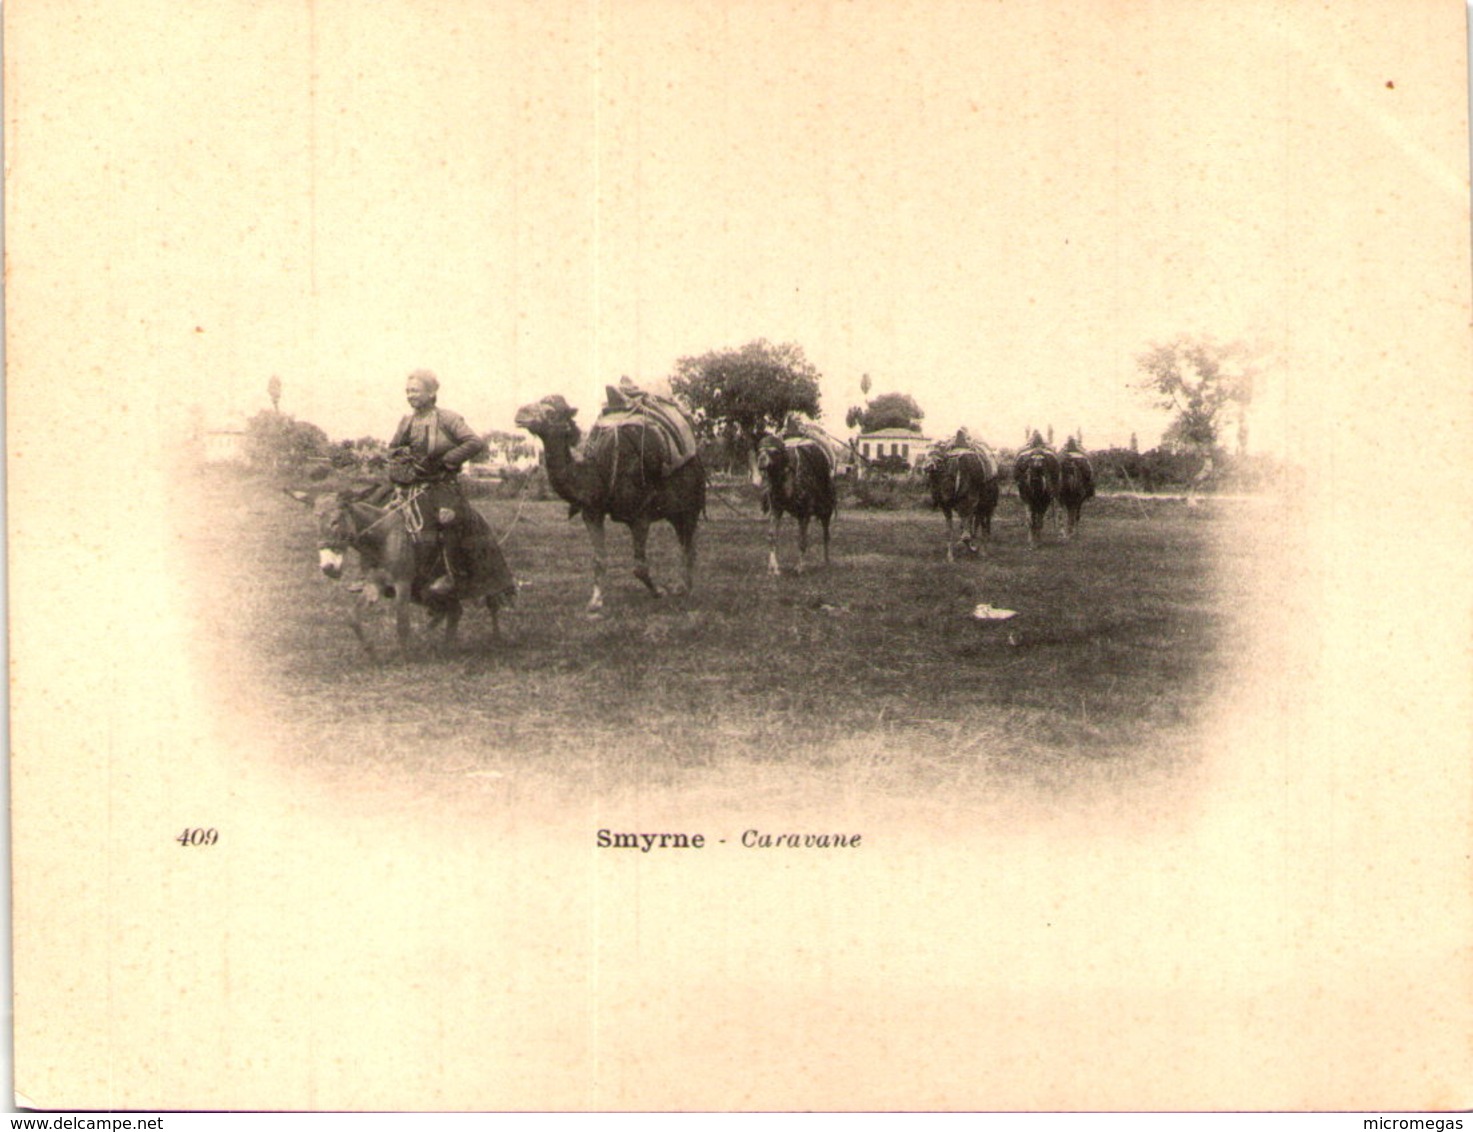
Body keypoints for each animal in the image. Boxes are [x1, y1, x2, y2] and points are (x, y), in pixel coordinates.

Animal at [512, 395, 707, 613]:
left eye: (550, 412)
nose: (520, 414)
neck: (597, 474)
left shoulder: (640, 516)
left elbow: (639, 567)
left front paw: (659, 592)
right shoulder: (592, 512)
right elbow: (599, 559)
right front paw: (595, 602)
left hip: (691, 508)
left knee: (688, 547)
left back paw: (686, 592)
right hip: (676, 514)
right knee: (687, 545)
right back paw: (682, 588)